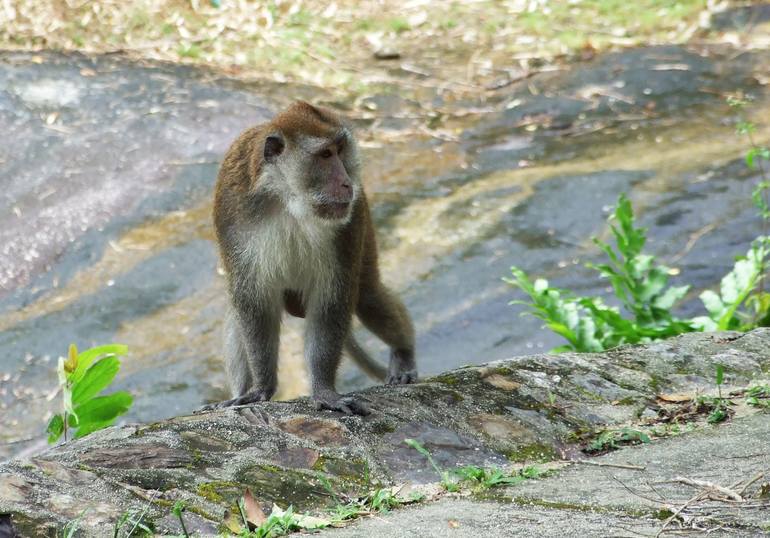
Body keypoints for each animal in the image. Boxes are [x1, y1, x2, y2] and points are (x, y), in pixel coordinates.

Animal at [207, 100, 414, 412]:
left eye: (340, 150)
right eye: (325, 154)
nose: (347, 183)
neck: (287, 197)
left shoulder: (348, 225)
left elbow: (331, 301)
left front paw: (324, 391)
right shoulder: (234, 217)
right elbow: (254, 303)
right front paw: (260, 388)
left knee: (369, 296)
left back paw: (403, 355)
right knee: (235, 311)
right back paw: (239, 391)